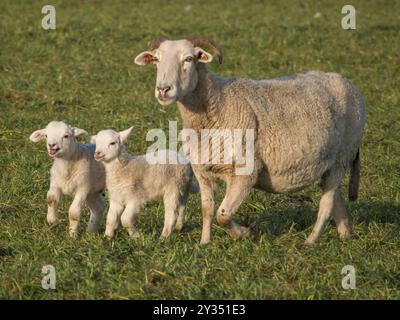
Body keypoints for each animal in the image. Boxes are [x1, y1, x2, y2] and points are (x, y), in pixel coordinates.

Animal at [134, 35, 366, 245]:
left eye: (189, 59)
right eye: (157, 59)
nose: (163, 90)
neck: (217, 103)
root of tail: (345, 81)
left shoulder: (247, 171)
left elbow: (223, 214)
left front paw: (246, 233)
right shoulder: (203, 170)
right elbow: (208, 209)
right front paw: (205, 243)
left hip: (343, 156)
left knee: (326, 205)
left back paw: (311, 241)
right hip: (328, 164)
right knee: (335, 198)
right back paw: (346, 233)